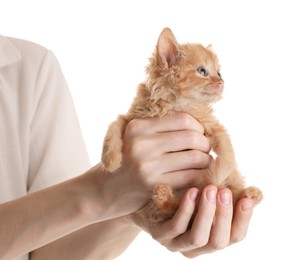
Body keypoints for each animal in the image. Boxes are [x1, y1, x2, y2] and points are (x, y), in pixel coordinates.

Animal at [102, 27, 264, 224]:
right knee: (179, 208)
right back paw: (163, 195)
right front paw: (110, 160)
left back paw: (249, 194)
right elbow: (113, 126)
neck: (175, 106)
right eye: (202, 71)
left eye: (219, 73)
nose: (222, 82)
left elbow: (227, 151)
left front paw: (228, 164)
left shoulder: (212, 125)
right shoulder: (131, 118)